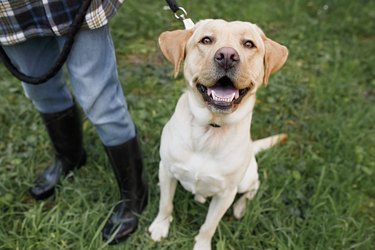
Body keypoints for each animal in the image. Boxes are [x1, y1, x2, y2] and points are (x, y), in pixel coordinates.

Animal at [149, 18, 288, 249]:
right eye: (206, 40)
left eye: (249, 44)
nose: (227, 56)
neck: (210, 129)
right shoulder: (167, 170)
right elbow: (165, 204)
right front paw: (160, 226)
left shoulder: (226, 194)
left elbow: (209, 226)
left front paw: (202, 245)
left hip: (246, 179)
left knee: (254, 187)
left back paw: (240, 208)